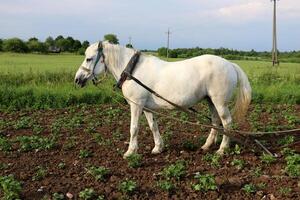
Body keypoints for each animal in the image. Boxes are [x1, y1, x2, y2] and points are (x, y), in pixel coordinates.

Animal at [75, 41, 251, 158]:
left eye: (89, 58)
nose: (77, 79)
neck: (133, 71)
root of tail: (230, 64)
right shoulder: (146, 107)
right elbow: (153, 126)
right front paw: (158, 148)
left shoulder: (136, 105)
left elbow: (134, 128)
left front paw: (130, 151)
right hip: (210, 101)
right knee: (215, 122)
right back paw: (207, 145)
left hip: (220, 102)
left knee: (226, 123)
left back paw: (222, 149)